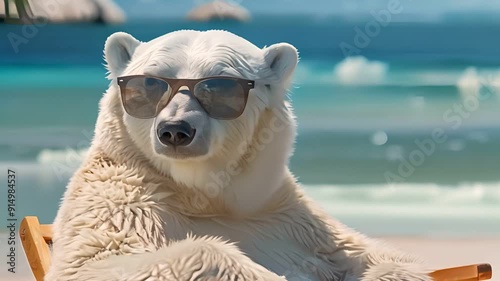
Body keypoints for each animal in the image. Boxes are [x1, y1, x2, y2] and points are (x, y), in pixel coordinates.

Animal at [46, 30, 430, 280]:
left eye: (218, 86)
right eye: (150, 84)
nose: (175, 130)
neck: (201, 196)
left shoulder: (287, 217)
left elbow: (371, 254)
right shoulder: (120, 200)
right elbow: (98, 261)